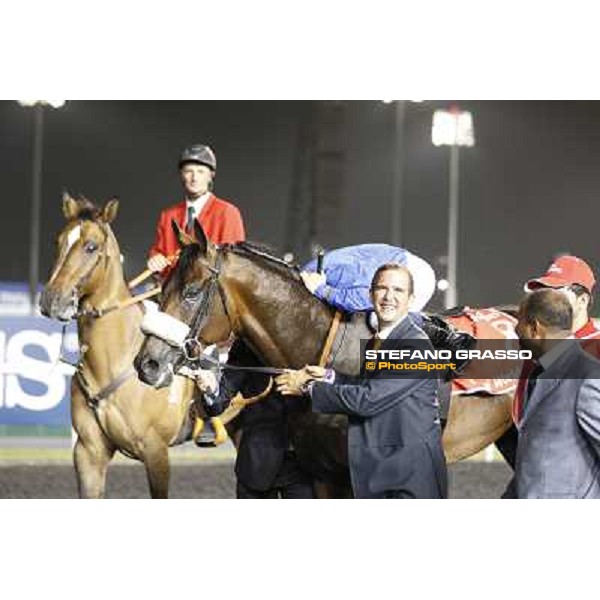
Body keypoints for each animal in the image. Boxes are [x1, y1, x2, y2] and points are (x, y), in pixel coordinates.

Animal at [135, 223, 516, 494]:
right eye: (162, 287)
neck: (322, 344)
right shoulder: (321, 474)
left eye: (191, 292)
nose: (146, 364)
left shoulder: (354, 474)